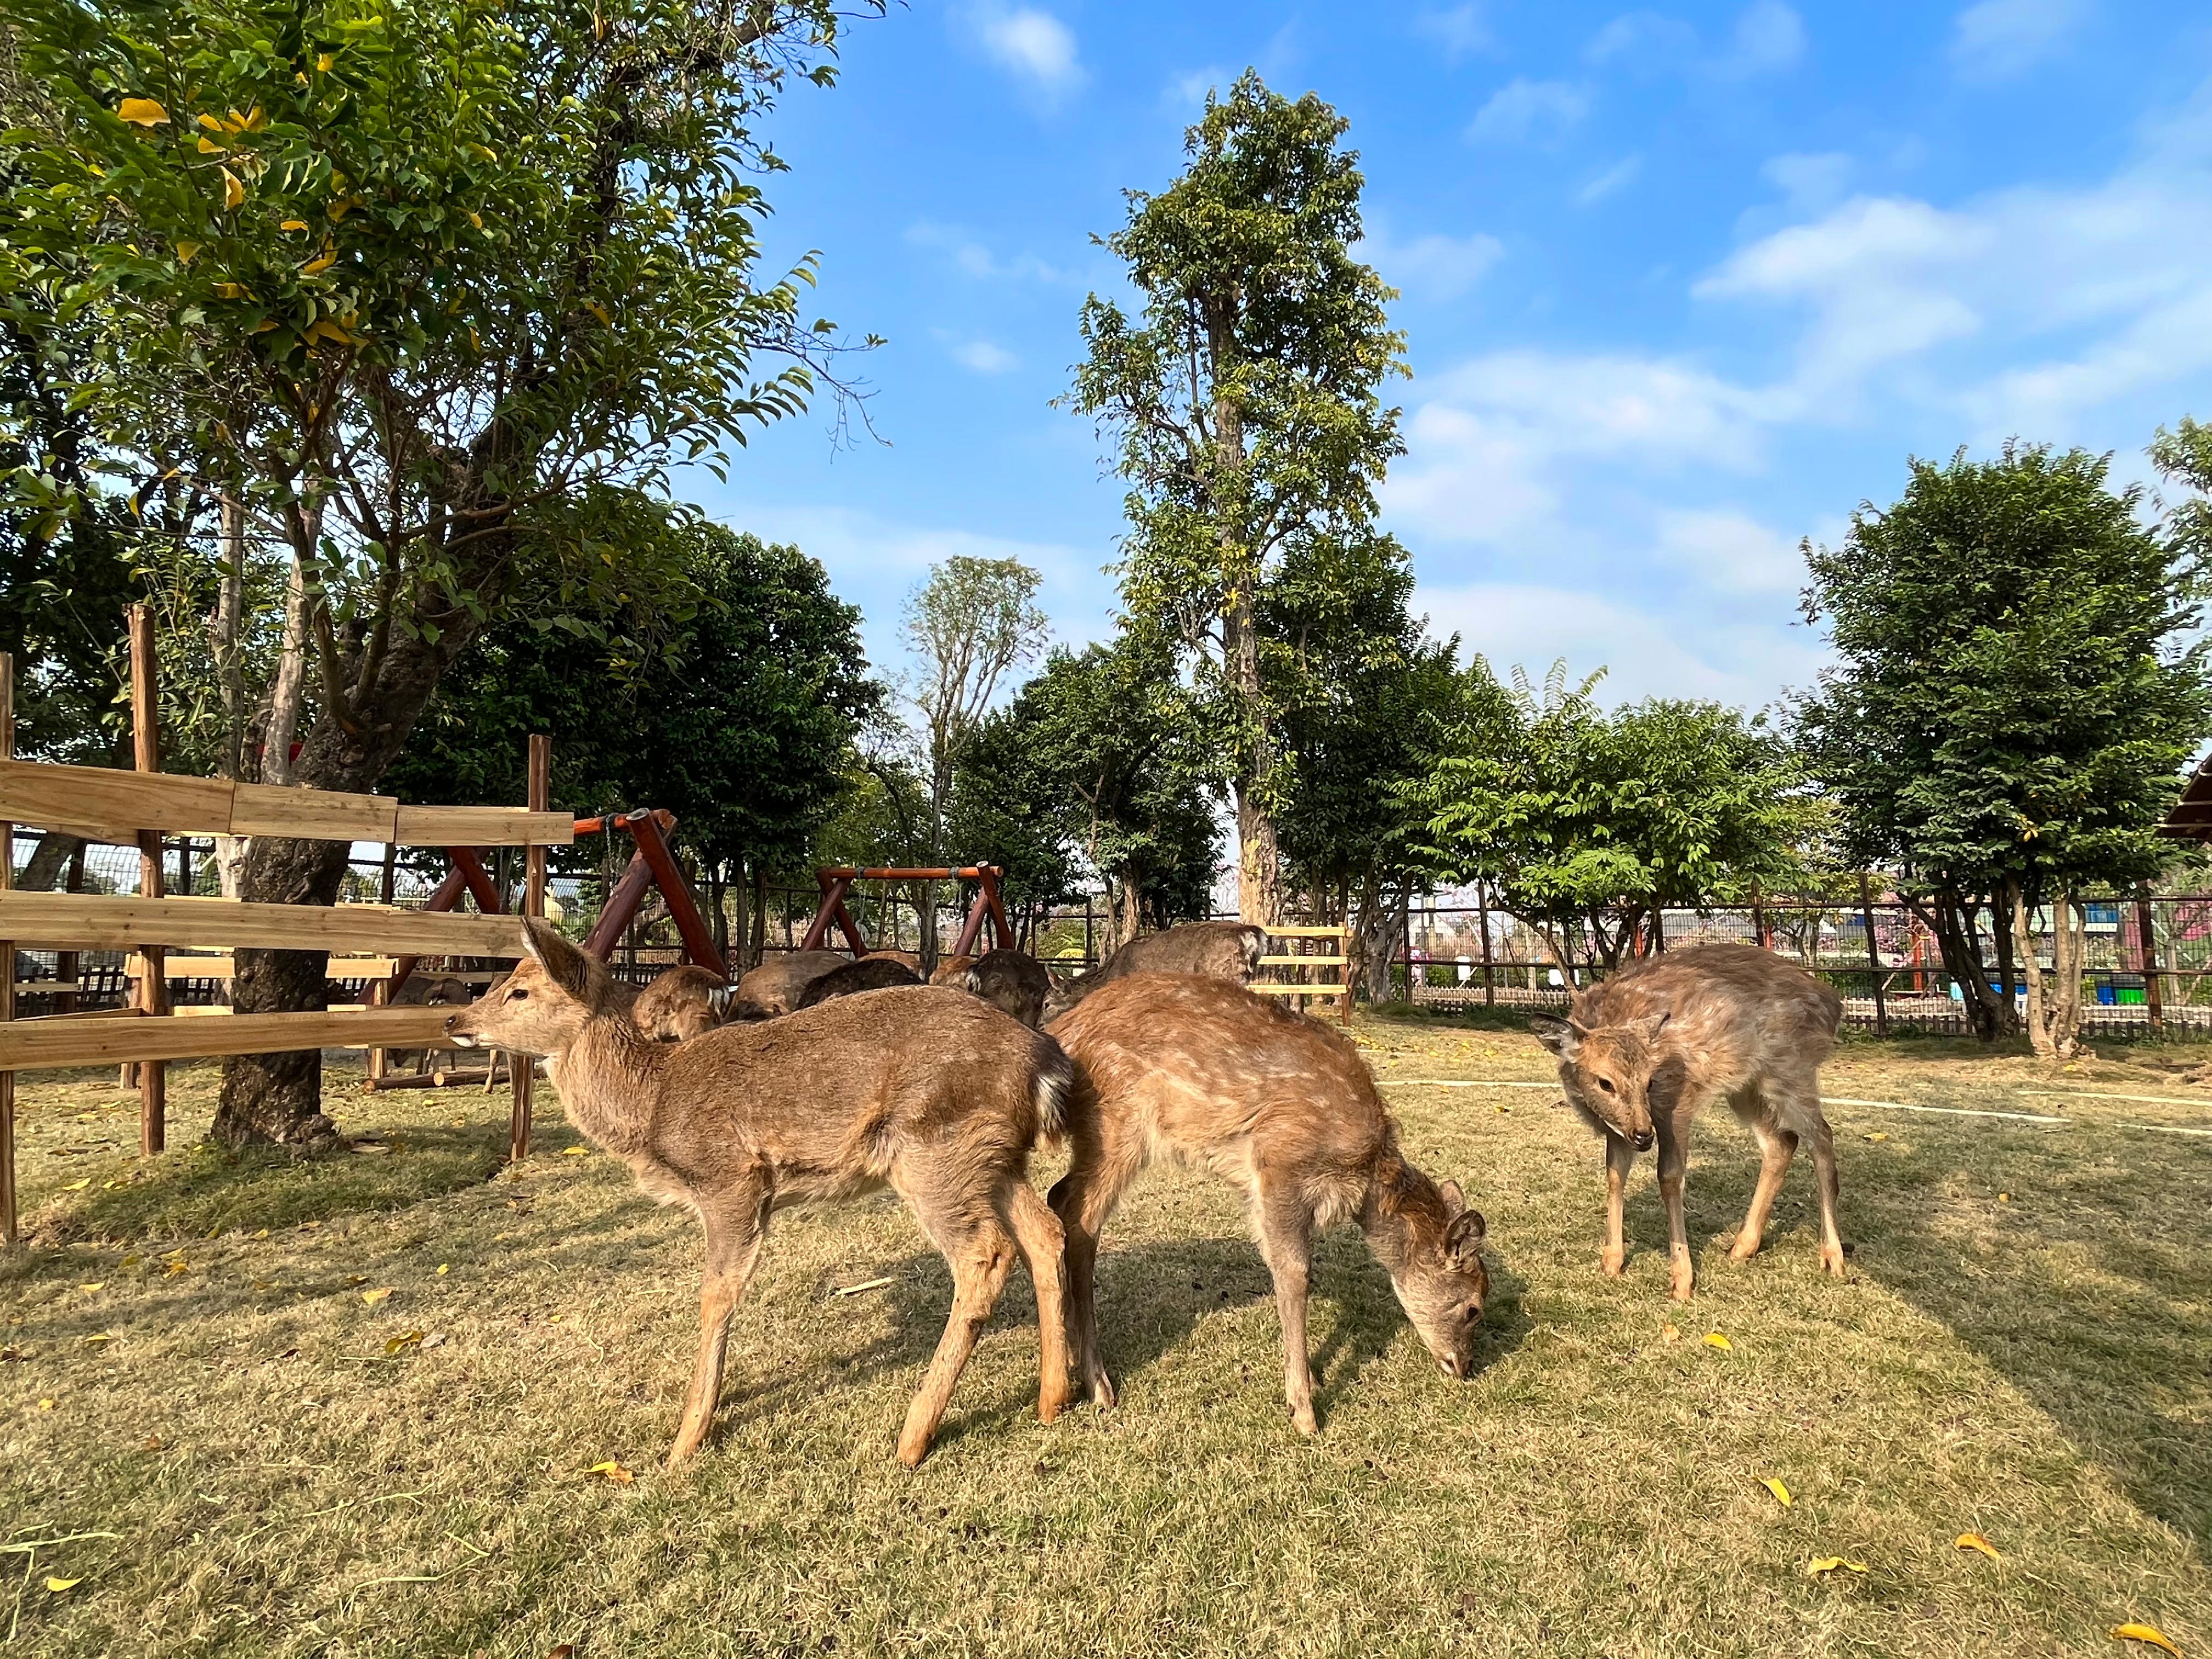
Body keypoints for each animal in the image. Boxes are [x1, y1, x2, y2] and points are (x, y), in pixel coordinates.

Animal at [444, 924, 1075, 1469]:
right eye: (502, 981)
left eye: (521, 990)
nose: (456, 1017)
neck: (653, 1108)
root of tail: (1045, 1066)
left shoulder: (731, 1179)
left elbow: (716, 1295)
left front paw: (687, 1440)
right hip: (995, 1159)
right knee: (1045, 1230)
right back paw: (1052, 1399)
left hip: (933, 1150)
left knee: (986, 1254)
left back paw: (912, 1438)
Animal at [1044, 973, 1495, 1442]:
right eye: (1474, 1308)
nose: (1463, 1366)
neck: (1365, 1177)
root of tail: (1065, 1032)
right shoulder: (1280, 1163)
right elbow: (1295, 1272)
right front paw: (1304, 1411)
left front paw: (1311, 1379)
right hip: (1118, 1123)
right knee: (1080, 1220)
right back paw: (1098, 1384)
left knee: (1058, 1197)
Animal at [1522, 942, 1849, 1309]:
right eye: (1605, 1082)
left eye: (1650, 1081)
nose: (1643, 1135)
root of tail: (1832, 1003)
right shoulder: (1616, 1129)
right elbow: (1615, 1175)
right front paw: (1611, 1263)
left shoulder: (1678, 1100)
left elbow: (1669, 1177)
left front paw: (1682, 1281)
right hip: (1747, 1088)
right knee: (1782, 1142)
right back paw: (1741, 1248)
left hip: (1791, 1069)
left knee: (1821, 1136)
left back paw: (1832, 1256)